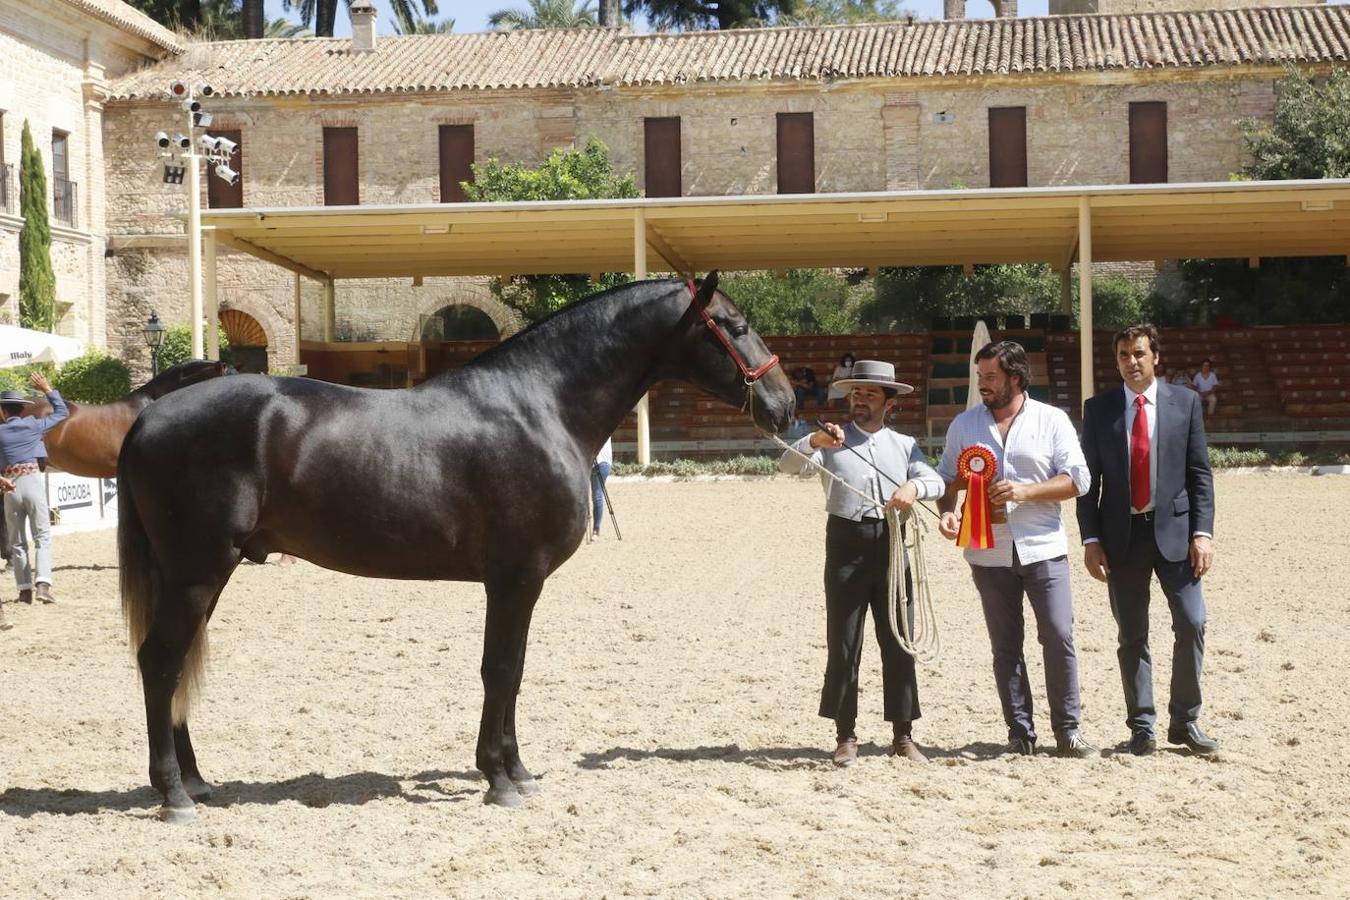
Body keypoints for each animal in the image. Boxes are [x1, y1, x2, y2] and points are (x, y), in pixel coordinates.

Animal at [121, 276, 793, 825]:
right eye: (734, 326)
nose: (785, 405)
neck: (539, 408)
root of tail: (149, 417)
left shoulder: (521, 582)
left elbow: (514, 673)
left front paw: (516, 771)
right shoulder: (516, 578)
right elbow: (500, 670)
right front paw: (500, 779)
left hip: (205, 576)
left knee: (175, 665)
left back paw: (197, 782)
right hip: (197, 575)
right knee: (160, 663)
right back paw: (174, 794)